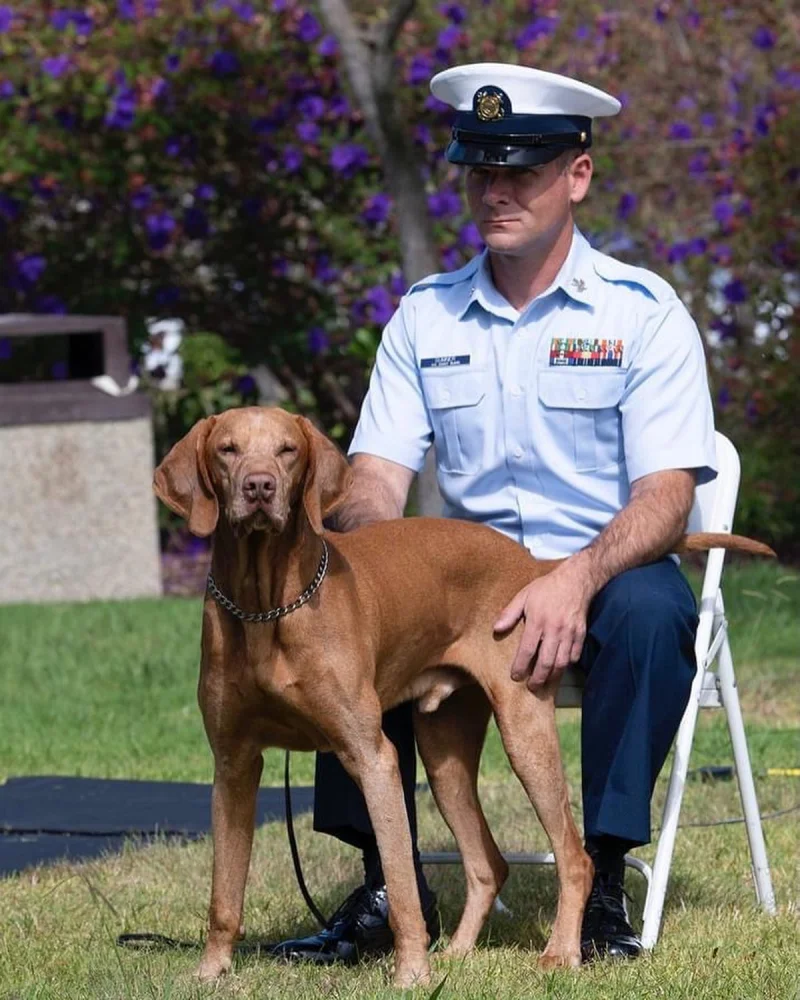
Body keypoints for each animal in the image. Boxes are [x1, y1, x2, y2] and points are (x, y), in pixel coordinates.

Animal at [153, 404, 772, 984]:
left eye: (286, 451)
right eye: (228, 450)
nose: (260, 487)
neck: (266, 605)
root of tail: (535, 567)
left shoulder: (370, 755)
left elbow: (403, 883)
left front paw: (410, 975)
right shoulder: (234, 763)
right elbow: (224, 893)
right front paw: (210, 972)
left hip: (525, 729)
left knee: (575, 855)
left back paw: (560, 952)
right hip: (444, 751)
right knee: (487, 863)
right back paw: (457, 952)